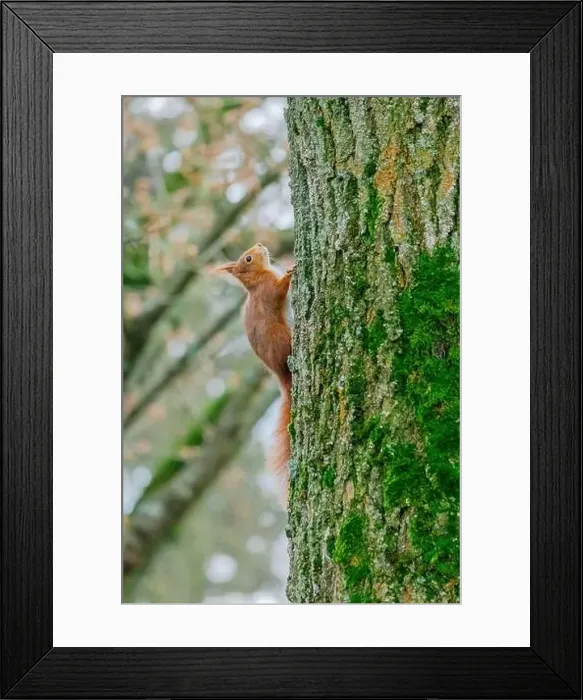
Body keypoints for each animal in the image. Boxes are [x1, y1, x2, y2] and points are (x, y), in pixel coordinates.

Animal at [216, 243, 294, 490]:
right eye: (248, 258)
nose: (260, 244)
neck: (258, 278)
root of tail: (281, 374)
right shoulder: (269, 289)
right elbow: (279, 290)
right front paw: (290, 273)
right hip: (281, 337)